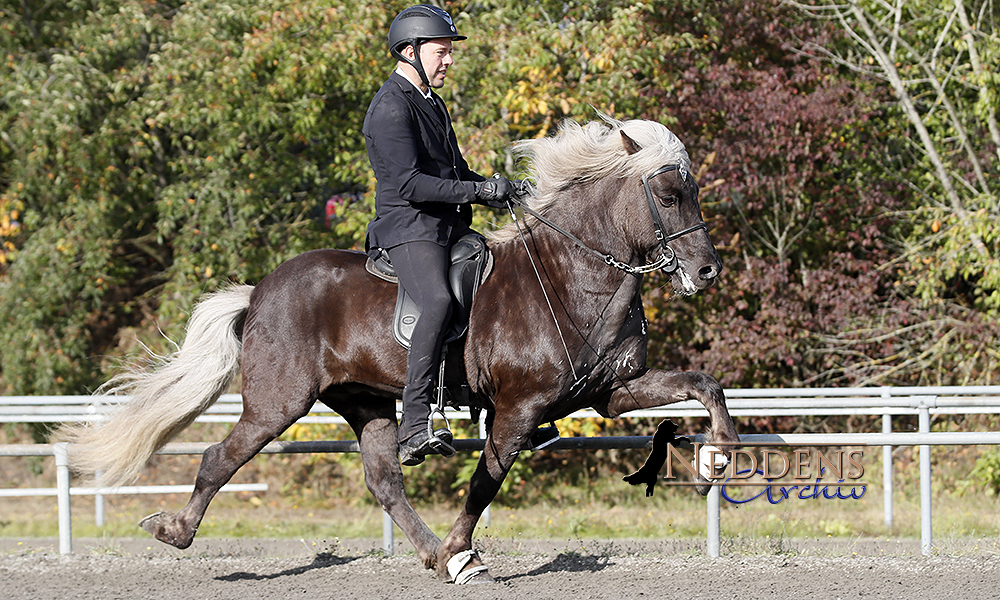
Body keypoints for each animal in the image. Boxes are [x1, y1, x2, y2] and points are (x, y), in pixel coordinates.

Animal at [56, 115, 744, 584]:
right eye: (669, 195)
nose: (707, 271)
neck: (574, 274)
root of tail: (259, 292)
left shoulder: (609, 392)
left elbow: (703, 383)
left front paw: (721, 455)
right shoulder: (518, 409)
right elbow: (485, 482)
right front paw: (464, 552)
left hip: (366, 402)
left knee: (384, 481)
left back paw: (430, 552)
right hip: (277, 404)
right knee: (219, 457)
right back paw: (173, 531)